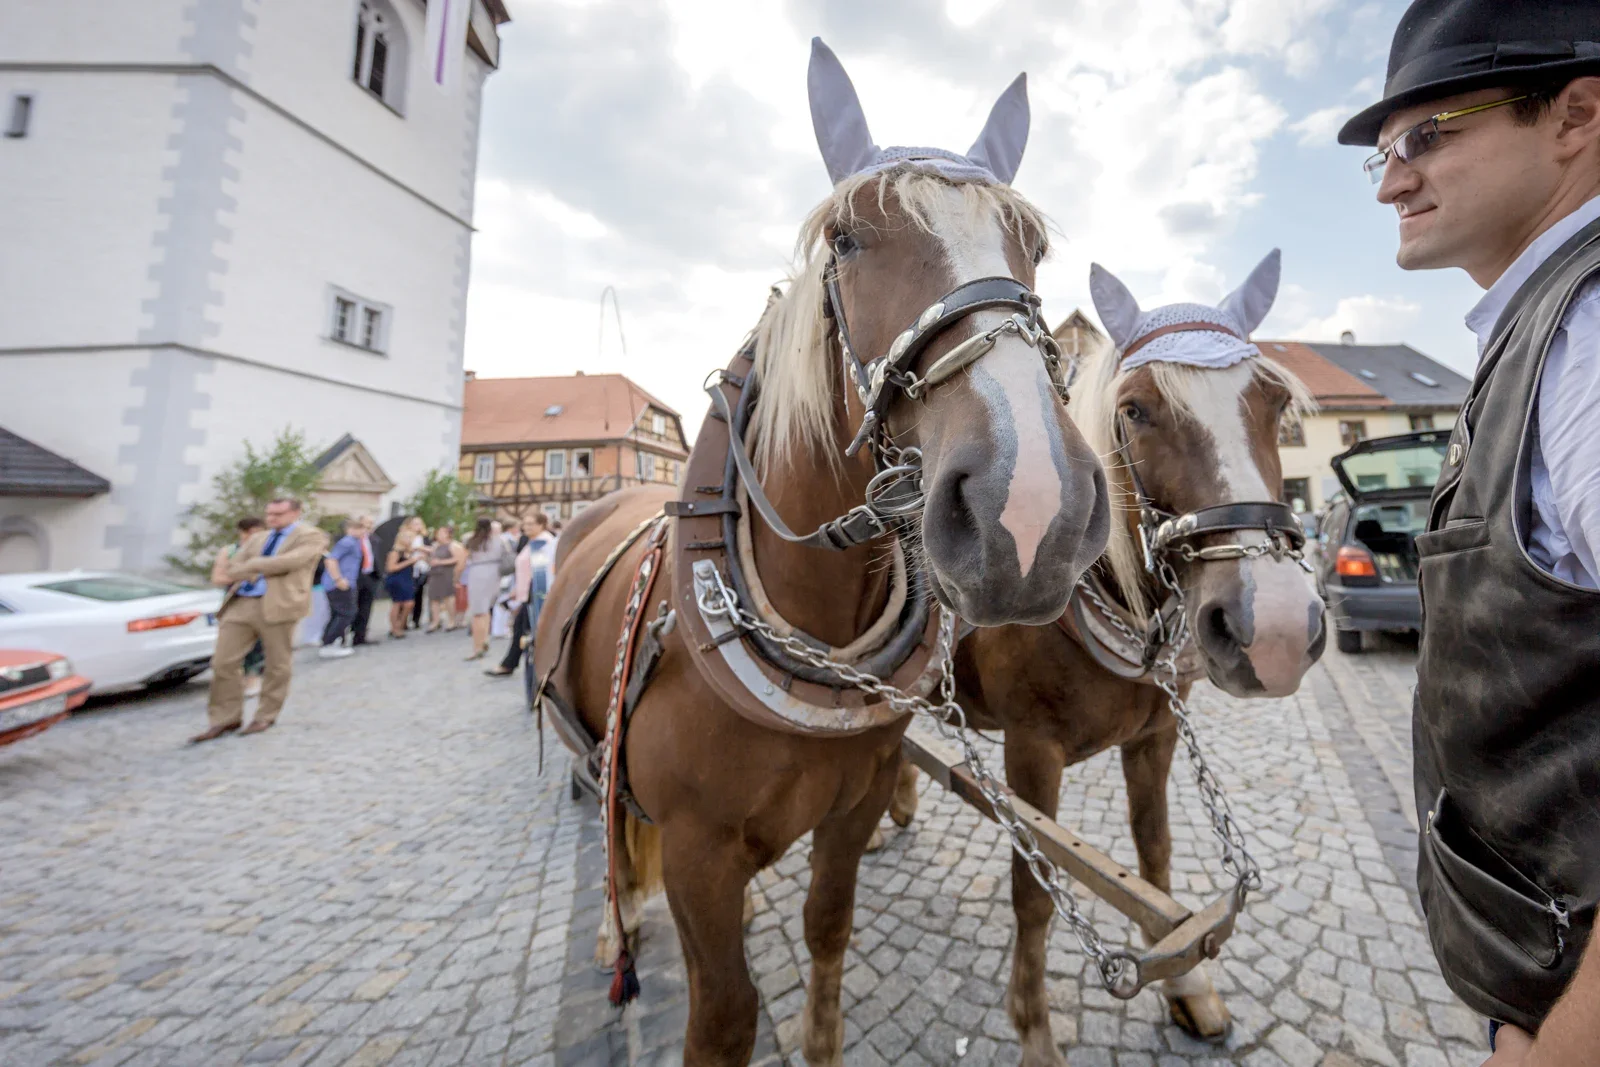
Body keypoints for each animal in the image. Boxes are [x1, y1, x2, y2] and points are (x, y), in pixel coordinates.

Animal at [533, 41, 1111, 1067]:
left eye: (1030, 247)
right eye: (845, 239)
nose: (1032, 507)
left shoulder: (853, 801)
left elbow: (827, 927)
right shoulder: (698, 856)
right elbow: (724, 1014)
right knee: (607, 824)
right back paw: (615, 924)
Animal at [886, 251, 1327, 1065]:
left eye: (1274, 402)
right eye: (1136, 411)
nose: (1276, 627)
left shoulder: (1154, 736)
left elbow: (1155, 852)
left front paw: (1187, 987)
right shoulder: (1032, 752)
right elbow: (1034, 892)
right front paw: (1033, 1027)